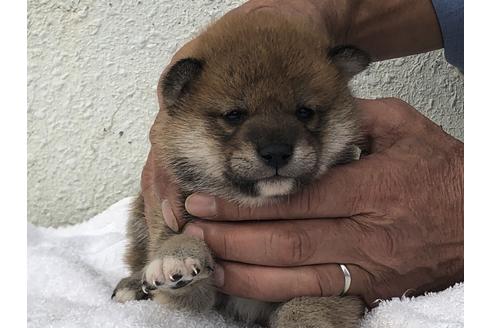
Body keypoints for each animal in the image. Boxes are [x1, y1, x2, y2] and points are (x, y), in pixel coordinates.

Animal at [112, 10, 368, 328]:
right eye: (234, 115)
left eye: (304, 112)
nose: (276, 152)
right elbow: (179, 255)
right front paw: (177, 256)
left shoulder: (326, 280)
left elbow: (304, 309)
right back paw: (133, 285)